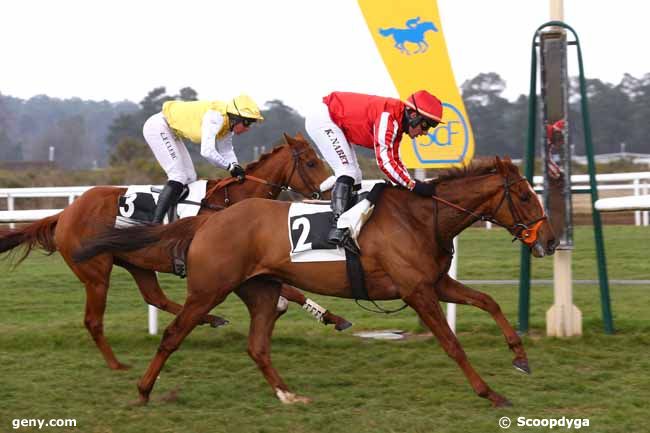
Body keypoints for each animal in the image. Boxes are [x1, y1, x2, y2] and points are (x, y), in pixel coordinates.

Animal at [0, 132, 350, 368]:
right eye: (311, 162)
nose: (330, 192)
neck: (231, 202)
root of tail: (65, 214)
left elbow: (293, 291)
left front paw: (333, 317)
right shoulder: (238, 265)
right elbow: (289, 290)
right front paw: (323, 314)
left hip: (137, 264)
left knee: (155, 297)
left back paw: (210, 318)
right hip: (96, 274)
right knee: (94, 321)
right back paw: (117, 364)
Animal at [74, 157, 552, 406]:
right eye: (524, 195)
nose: (548, 240)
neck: (421, 217)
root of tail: (208, 221)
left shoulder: (434, 283)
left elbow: (489, 301)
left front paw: (521, 357)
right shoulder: (418, 292)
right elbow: (451, 343)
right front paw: (489, 392)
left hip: (261, 289)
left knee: (257, 345)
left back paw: (288, 395)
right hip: (208, 289)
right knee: (173, 334)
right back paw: (142, 390)